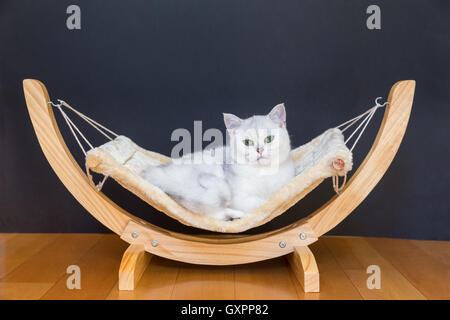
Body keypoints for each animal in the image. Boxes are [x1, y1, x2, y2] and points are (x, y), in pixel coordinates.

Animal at [141, 104, 296, 221]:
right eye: (247, 142)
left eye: (269, 139)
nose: (259, 150)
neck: (263, 173)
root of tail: (156, 172)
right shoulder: (240, 198)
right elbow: (262, 203)